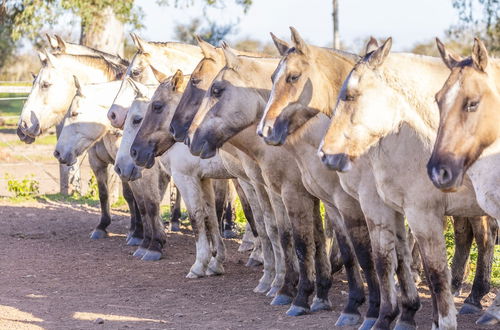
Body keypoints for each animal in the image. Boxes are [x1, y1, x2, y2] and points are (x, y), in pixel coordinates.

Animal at [258, 29, 422, 328]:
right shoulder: (343, 204)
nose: (265, 130)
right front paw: (400, 311)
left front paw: (374, 311)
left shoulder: (364, 205)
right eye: (272, 77)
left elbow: (370, 257)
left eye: (293, 77)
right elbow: (362, 254)